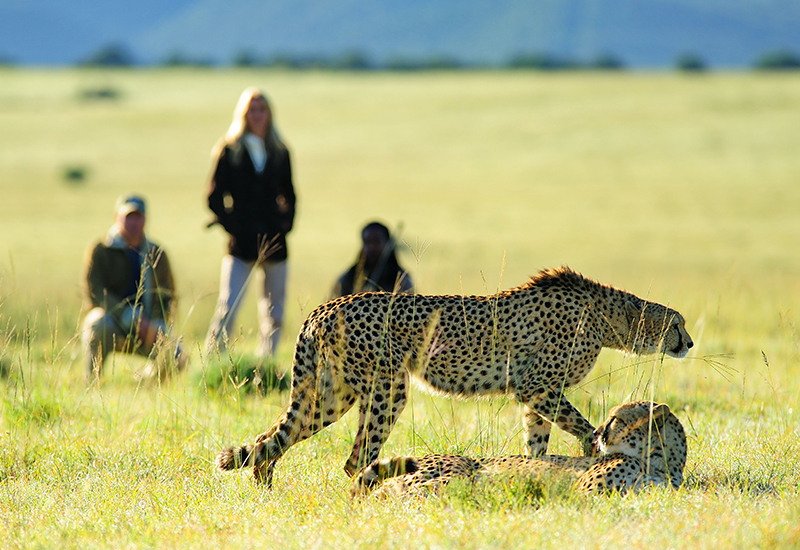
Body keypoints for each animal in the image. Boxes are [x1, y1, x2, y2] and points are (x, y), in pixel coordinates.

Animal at [216, 268, 692, 488]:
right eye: (677, 324)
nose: (688, 343)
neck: (606, 316)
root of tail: (326, 306)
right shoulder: (538, 387)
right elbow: (585, 428)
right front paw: (593, 448)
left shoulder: (533, 397)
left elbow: (537, 441)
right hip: (388, 388)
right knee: (355, 459)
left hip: (332, 395)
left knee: (270, 441)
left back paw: (265, 490)